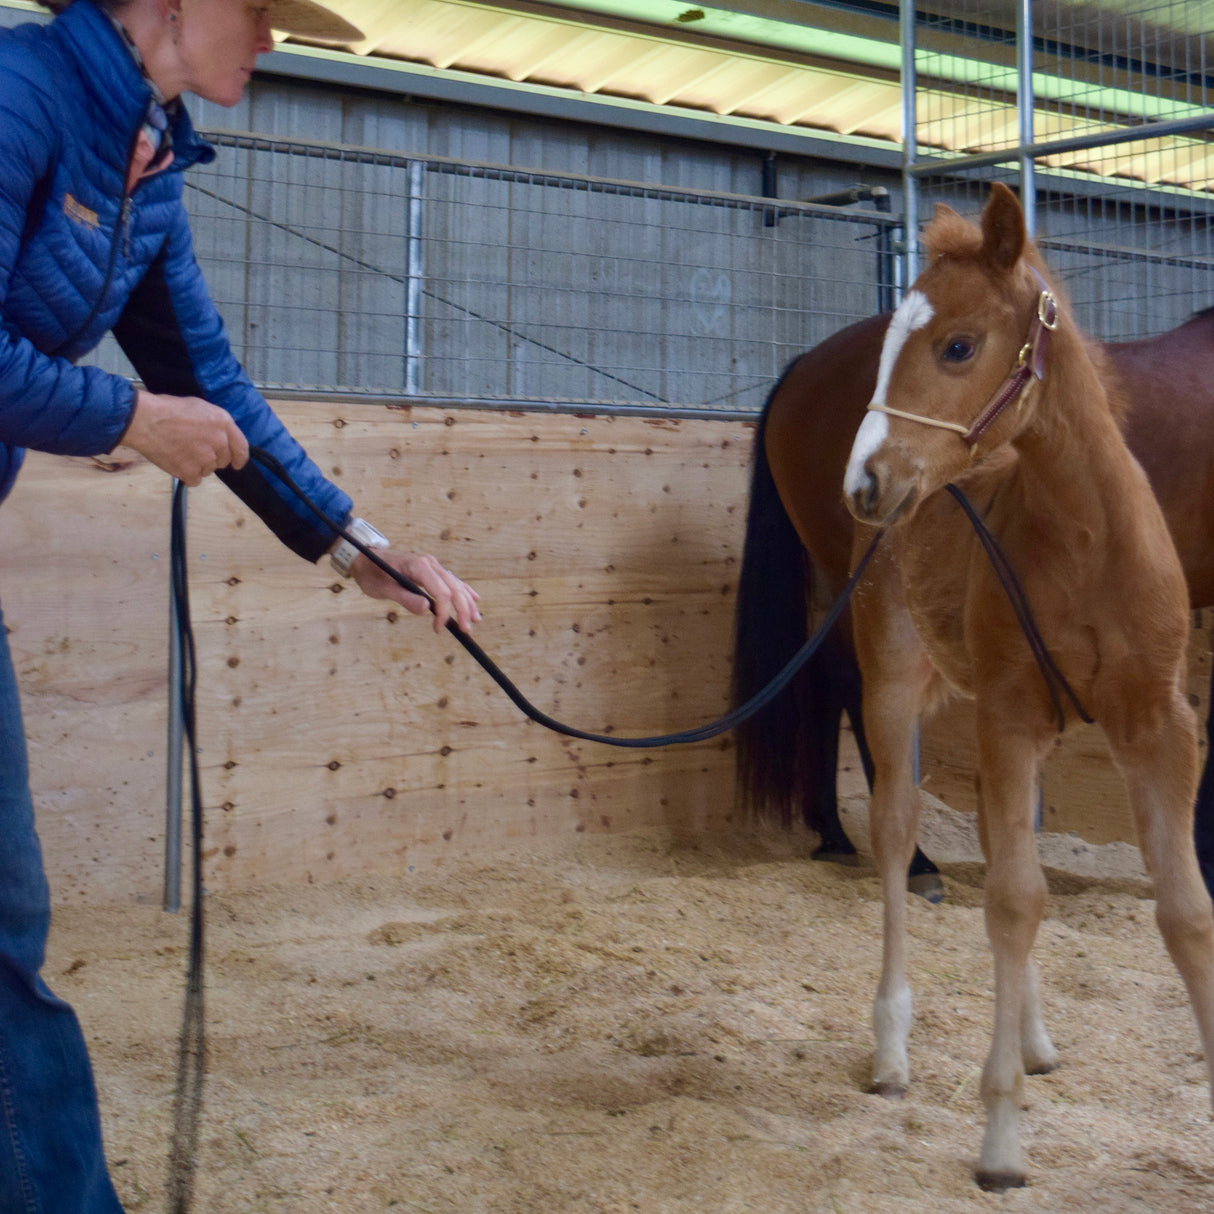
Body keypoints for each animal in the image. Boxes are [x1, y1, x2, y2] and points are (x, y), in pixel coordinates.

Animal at [824, 181, 1214, 1190]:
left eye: (958, 346)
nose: (865, 482)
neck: (1087, 540)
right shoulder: (1005, 714)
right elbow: (1009, 902)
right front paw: (1000, 1142)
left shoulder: (1160, 725)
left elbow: (1182, 909)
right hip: (892, 687)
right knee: (898, 837)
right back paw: (892, 1049)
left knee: (1015, 859)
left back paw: (1036, 1040)